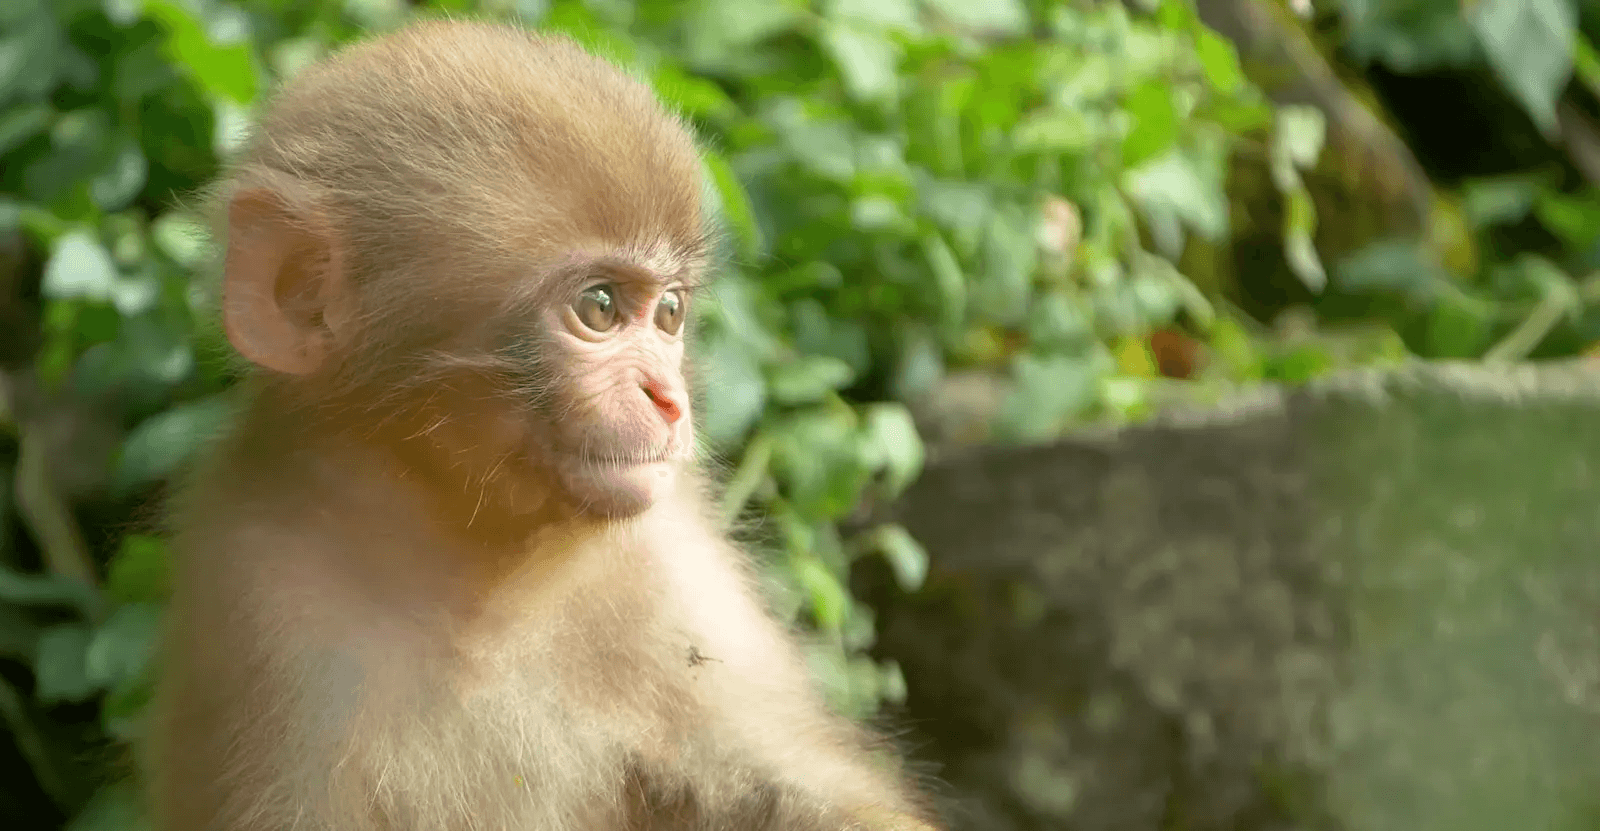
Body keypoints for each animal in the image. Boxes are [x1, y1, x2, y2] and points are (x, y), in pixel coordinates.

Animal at [139, 18, 939, 831]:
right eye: (599, 307)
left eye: (670, 312)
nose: (667, 397)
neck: (478, 576)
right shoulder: (262, 599)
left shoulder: (679, 560)